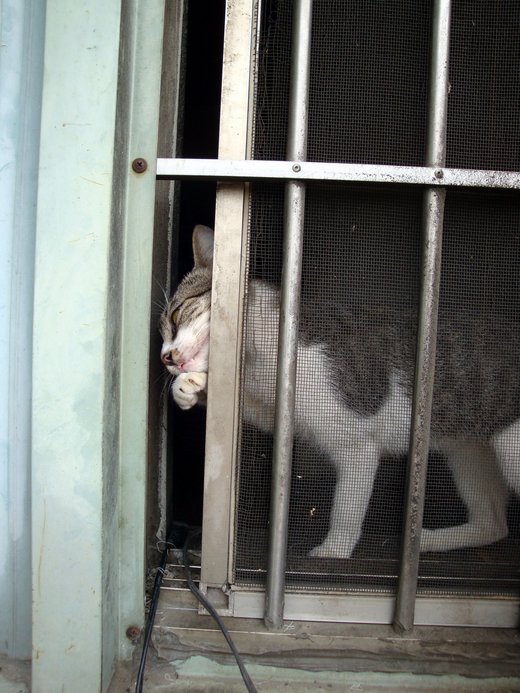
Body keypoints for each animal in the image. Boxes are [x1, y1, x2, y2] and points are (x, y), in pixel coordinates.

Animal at [160, 224, 520, 559]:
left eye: (176, 316)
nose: (166, 357)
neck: (262, 359)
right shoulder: (276, 408)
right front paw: (188, 388)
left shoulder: (357, 446)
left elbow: (346, 510)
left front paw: (333, 553)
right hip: (469, 451)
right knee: (493, 523)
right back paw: (426, 542)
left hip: (508, 448)